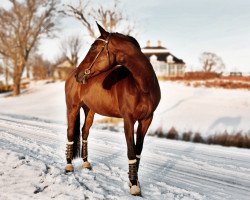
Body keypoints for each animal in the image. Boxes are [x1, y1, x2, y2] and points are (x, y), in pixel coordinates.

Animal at [64, 23, 161, 195]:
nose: (79, 75)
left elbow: (138, 151)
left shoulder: (146, 120)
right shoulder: (128, 120)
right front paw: (134, 185)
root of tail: (70, 75)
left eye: (94, 48)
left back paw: (86, 162)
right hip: (72, 108)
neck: (142, 86)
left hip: (90, 111)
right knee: (70, 133)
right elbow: (131, 150)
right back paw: (68, 165)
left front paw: (134, 182)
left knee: (84, 132)